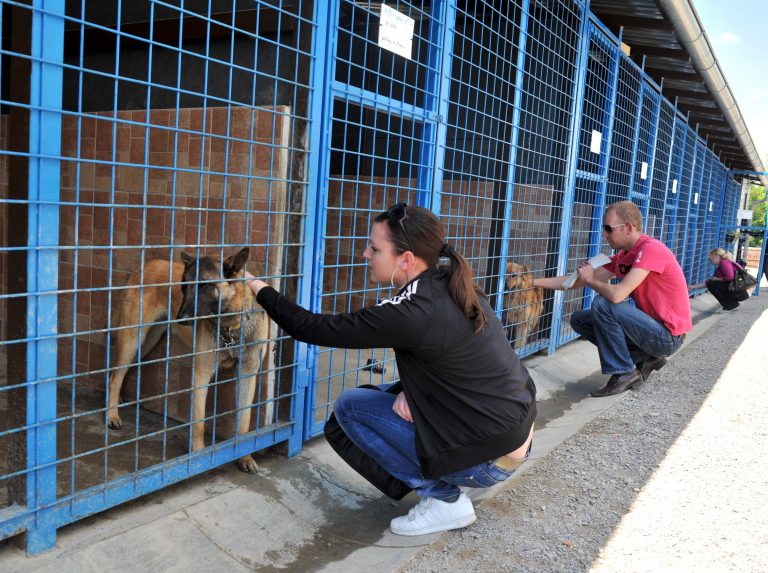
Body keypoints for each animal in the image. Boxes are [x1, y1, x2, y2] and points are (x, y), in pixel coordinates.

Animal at [106, 247, 268, 474]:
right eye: (184, 285)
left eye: (205, 285)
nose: (181, 319)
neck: (231, 324)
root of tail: (146, 265)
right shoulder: (201, 374)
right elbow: (199, 423)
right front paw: (199, 458)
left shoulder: (247, 375)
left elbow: (244, 421)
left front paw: (244, 457)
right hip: (132, 339)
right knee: (115, 376)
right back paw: (111, 415)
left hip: (145, 343)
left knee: (118, 372)